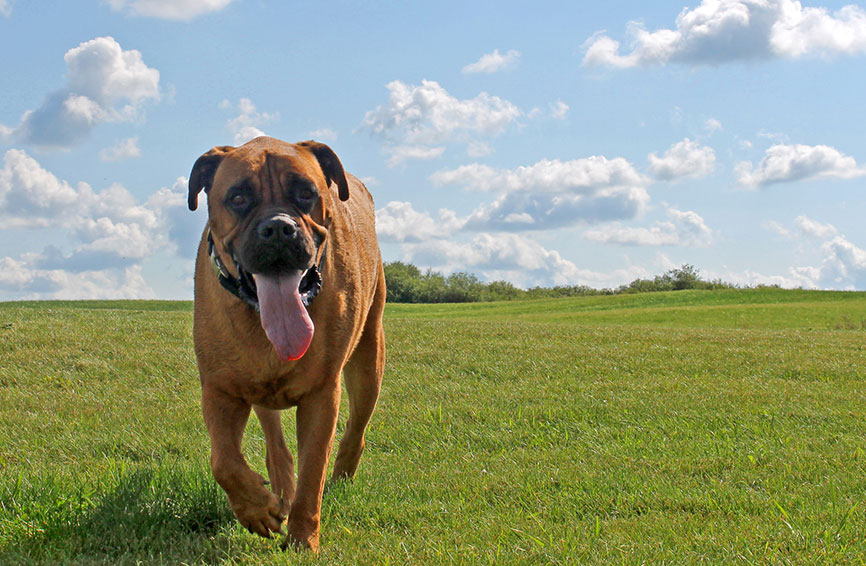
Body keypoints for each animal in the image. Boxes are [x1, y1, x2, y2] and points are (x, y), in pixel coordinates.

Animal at [186, 135, 384, 552]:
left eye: (306, 193)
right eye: (239, 197)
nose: (279, 227)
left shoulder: (323, 395)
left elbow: (313, 471)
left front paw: (302, 540)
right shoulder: (220, 390)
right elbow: (223, 461)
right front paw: (258, 509)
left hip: (369, 359)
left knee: (356, 428)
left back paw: (341, 475)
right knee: (274, 441)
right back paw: (278, 487)